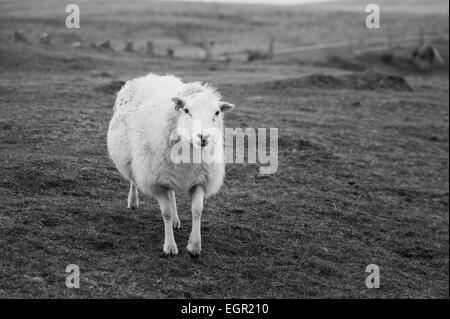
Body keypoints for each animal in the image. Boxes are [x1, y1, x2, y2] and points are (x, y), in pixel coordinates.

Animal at [107, 74, 236, 256]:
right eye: (186, 110)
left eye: (217, 112)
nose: (203, 137)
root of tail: (152, 76)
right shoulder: (157, 182)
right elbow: (165, 213)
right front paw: (170, 246)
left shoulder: (200, 181)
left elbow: (197, 211)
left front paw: (194, 246)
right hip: (132, 159)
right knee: (133, 179)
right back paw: (133, 202)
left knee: (172, 194)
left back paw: (176, 220)